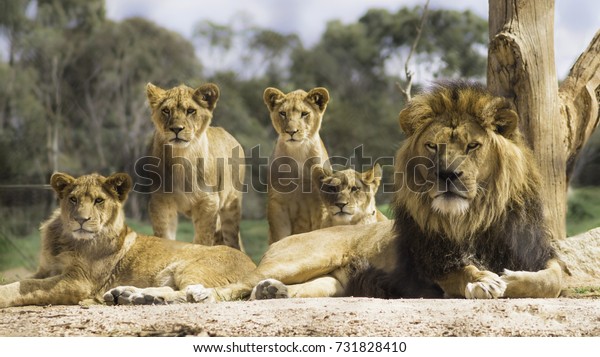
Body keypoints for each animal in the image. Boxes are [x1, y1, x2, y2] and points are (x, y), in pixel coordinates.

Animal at [0, 171, 255, 308]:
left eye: (99, 201)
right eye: (73, 199)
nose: (81, 220)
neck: (66, 238)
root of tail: (253, 268)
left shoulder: (78, 281)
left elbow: (26, 286)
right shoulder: (45, 270)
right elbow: (24, 280)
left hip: (190, 267)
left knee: (194, 294)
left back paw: (140, 298)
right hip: (166, 274)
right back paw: (127, 295)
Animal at [146, 82, 246, 249]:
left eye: (191, 111)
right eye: (166, 110)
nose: (176, 129)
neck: (181, 157)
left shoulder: (208, 202)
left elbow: (203, 240)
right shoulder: (161, 202)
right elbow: (164, 237)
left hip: (230, 207)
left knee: (232, 241)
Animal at [264, 86, 330, 243]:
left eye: (304, 114)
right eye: (283, 113)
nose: (291, 131)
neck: (298, 153)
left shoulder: (320, 204)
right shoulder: (278, 203)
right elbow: (279, 237)